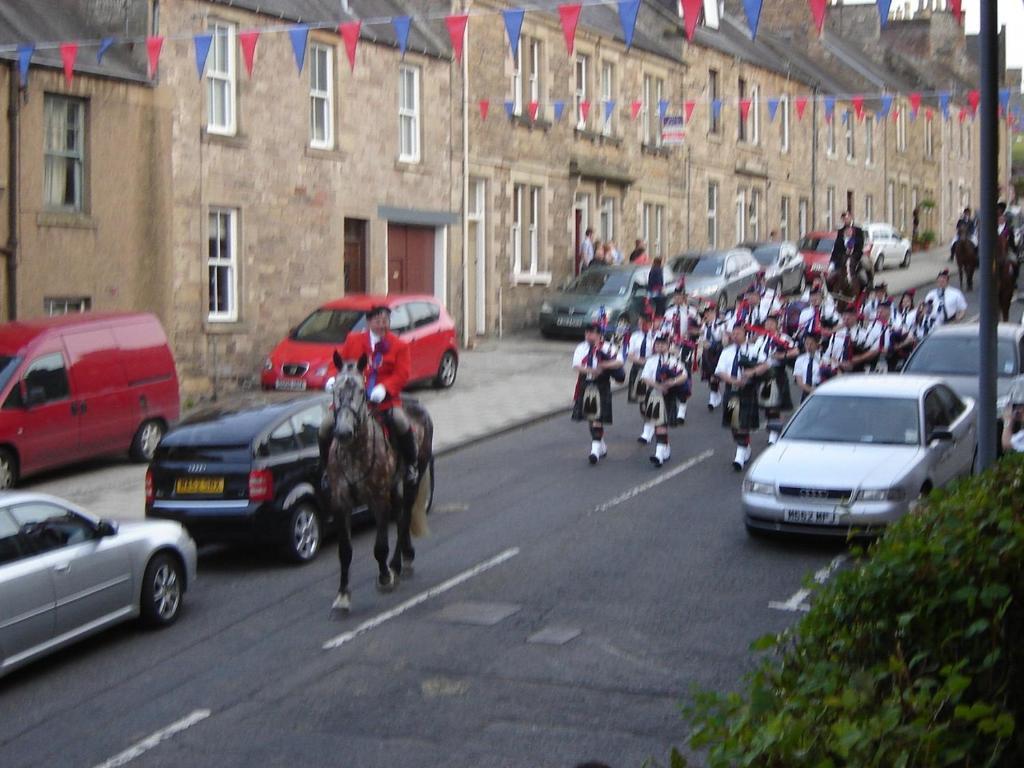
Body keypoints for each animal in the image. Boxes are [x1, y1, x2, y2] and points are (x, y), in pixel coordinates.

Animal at [327, 356, 432, 618]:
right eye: (335, 389)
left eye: (361, 391)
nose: (343, 432)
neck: (355, 451)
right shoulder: (340, 502)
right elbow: (344, 550)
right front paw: (342, 596)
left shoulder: (378, 499)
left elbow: (380, 546)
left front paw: (385, 577)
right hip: (394, 487)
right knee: (401, 514)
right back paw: (406, 555)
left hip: (412, 480)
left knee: (404, 518)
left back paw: (396, 564)